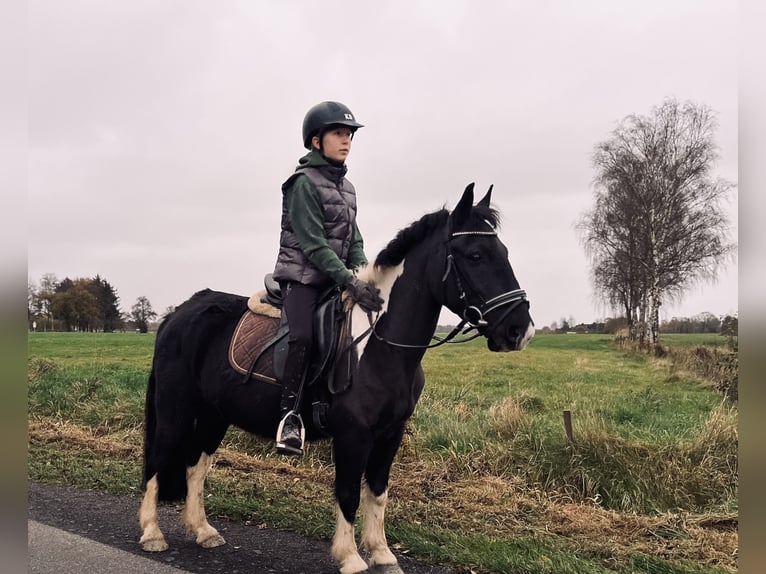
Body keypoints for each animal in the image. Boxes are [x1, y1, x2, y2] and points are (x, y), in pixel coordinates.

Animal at [140, 184, 536, 574]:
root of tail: (180, 313)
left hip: (214, 413)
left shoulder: (390, 434)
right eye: (475, 255)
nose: (521, 330)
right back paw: (153, 534)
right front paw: (350, 557)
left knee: (196, 464)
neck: (381, 345)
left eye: (503, 252)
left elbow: (377, 491)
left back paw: (203, 530)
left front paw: (382, 553)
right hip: (175, 409)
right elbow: (347, 493)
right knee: (159, 460)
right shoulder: (353, 434)